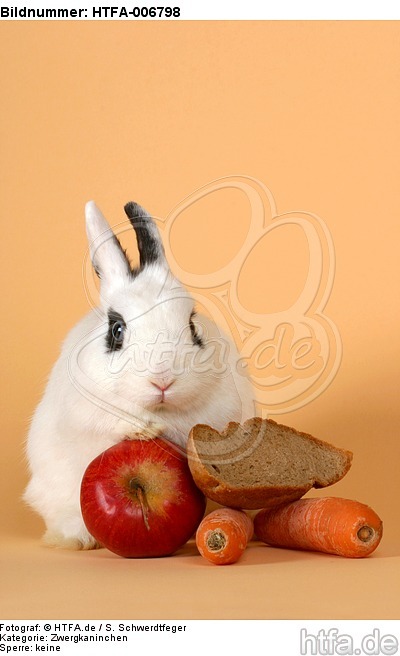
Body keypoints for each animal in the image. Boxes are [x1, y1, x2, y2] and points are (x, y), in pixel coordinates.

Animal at [23, 200, 255, 550]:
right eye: (116, 330)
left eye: (192, 325)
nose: (163, 380)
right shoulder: (83, 415)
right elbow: (109, 427)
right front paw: (143, 430)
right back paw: (78, 540)